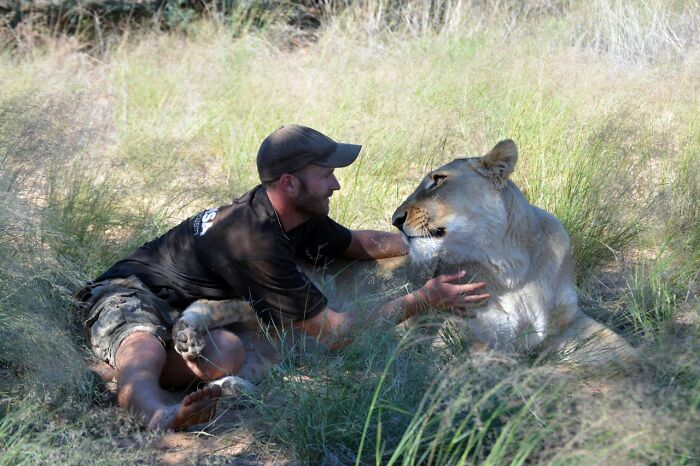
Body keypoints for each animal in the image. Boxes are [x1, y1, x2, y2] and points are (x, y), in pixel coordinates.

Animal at [173, 139, 638, 393]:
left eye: (438, 179)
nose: (395, 219)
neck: (509, 267)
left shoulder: (569, 320)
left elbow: (627, 353)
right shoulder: (446, 328)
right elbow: (480, 359)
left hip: (276, 345)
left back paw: (220, 382)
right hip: (293, 294)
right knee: (223, 303)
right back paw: (187, 333)